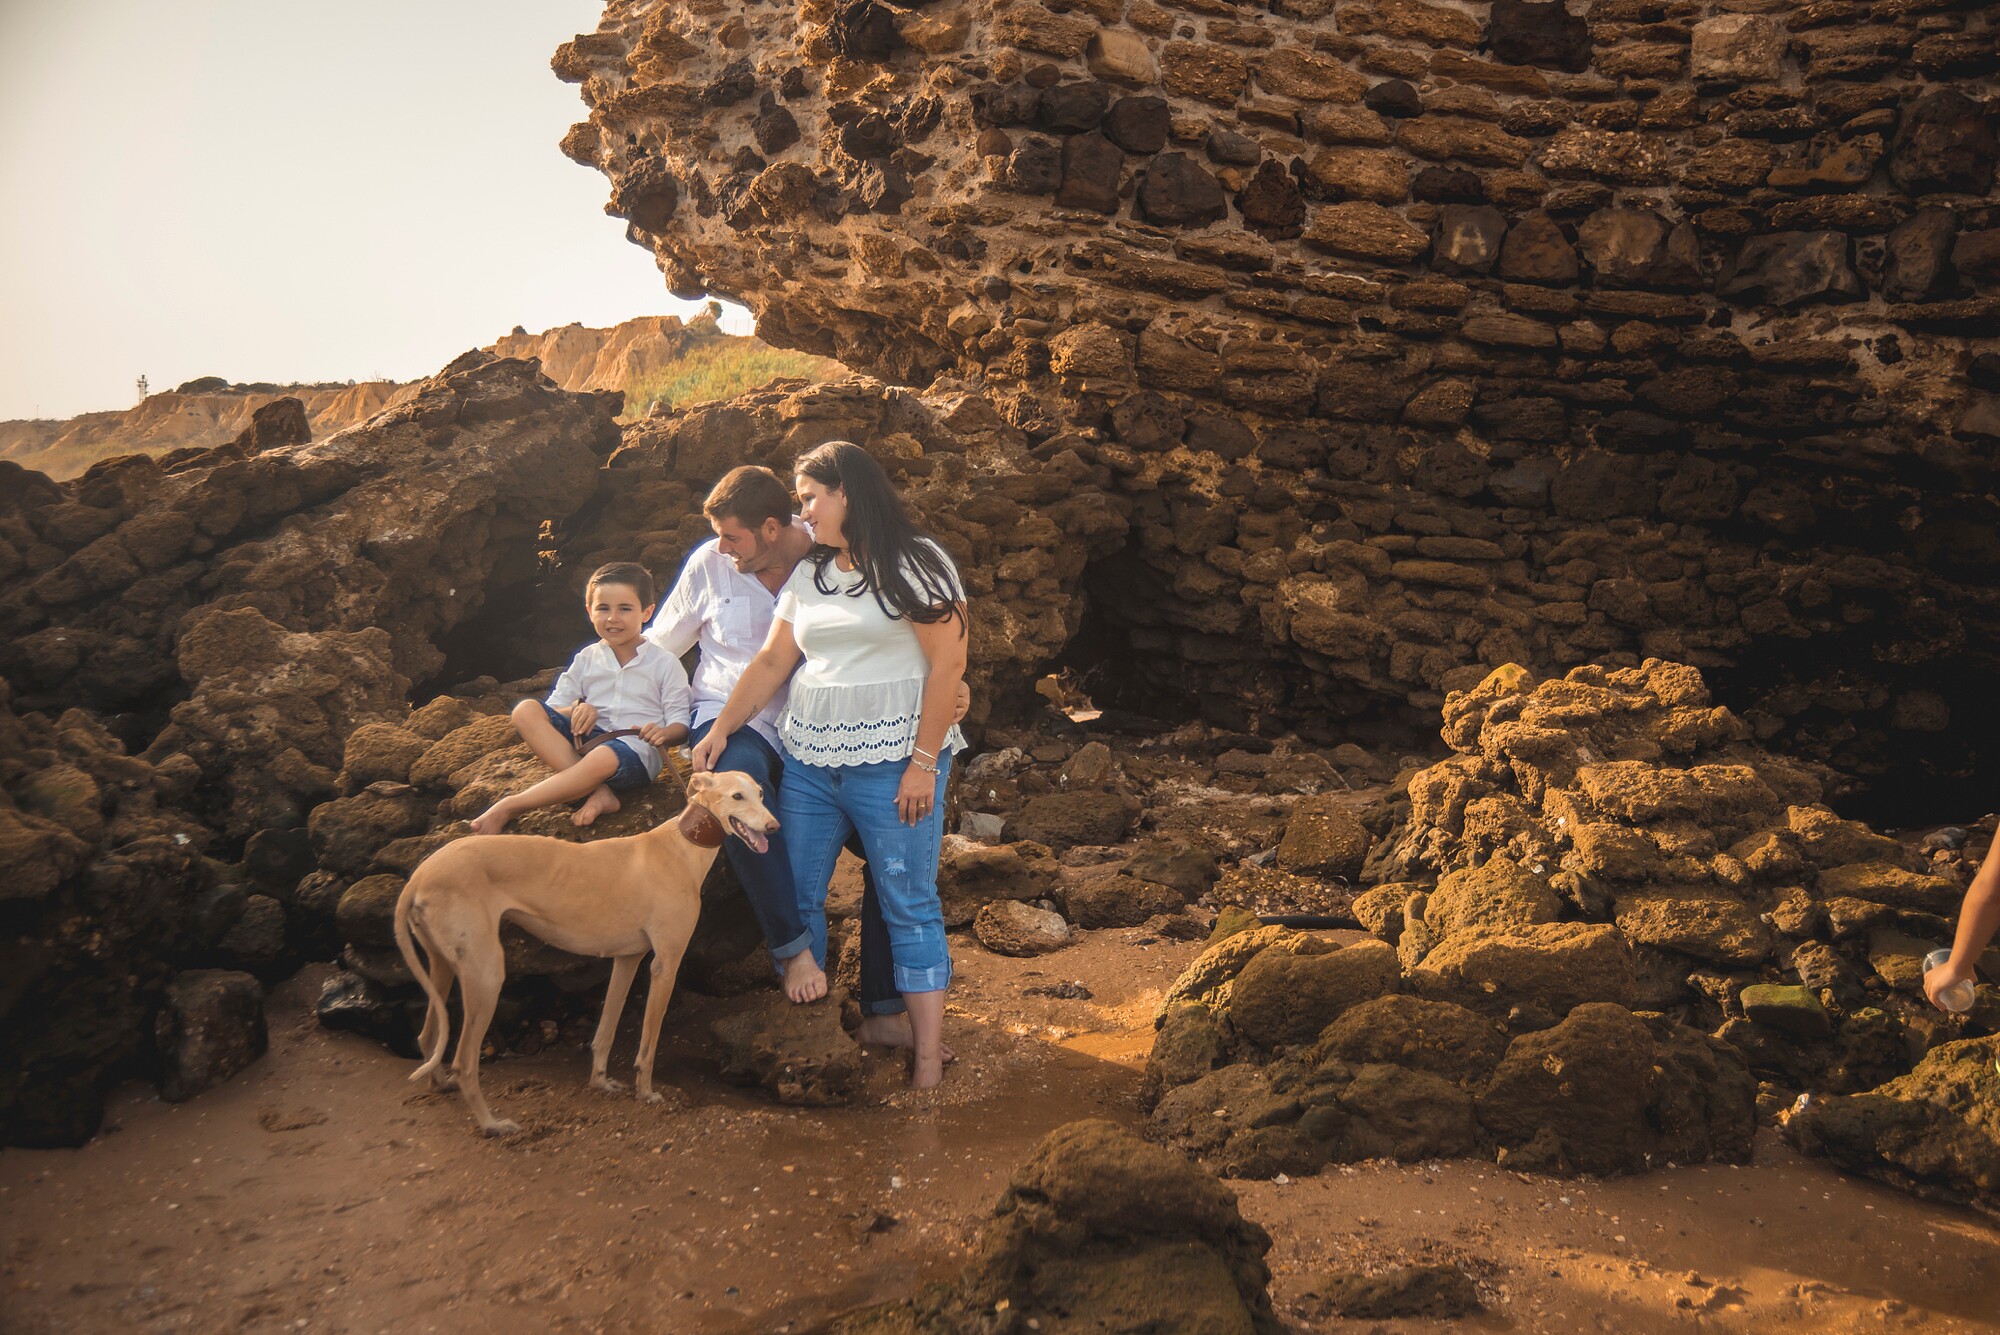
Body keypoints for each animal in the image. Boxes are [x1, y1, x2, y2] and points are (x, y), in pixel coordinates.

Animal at [388, 767, 772, 1135]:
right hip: (486, 974)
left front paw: (601, 1081)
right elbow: (649, 1042)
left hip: (443, 964)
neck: (679, 847)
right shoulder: (666, 964)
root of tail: (419, 875)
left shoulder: (627, 959)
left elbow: (606, 1031)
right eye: (737, 796)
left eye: (761, 793)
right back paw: (492, 1124)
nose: (774, 826)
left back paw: (441, 1086)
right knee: (464, 1062)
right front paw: (646, 1092)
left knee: (428, 1034)